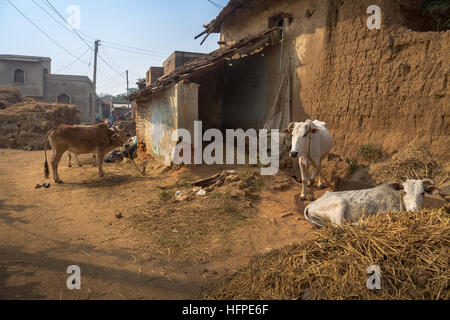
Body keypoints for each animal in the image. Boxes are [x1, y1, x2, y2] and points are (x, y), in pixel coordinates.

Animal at [304, 179, 442, 226]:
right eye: (405, 192)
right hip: (339, 205)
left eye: (423, 193)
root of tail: (311, 205)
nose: (414, 210)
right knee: (341, 226)